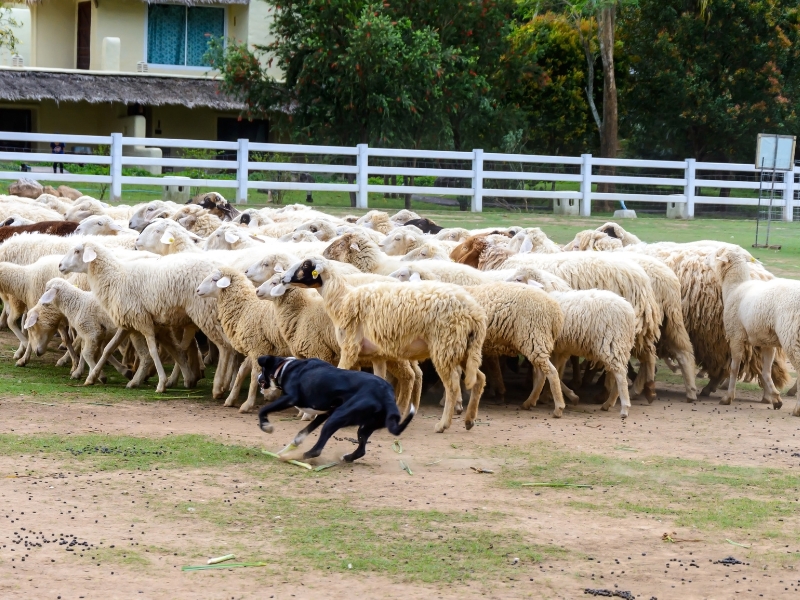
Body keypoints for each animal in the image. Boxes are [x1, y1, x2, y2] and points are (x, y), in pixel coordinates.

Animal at [196, 268, 290, 412]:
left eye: (215, 279)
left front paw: (248, 404)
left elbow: (253, 376)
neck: (245, 308)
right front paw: (231, 399)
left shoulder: (257, 347)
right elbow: (242, 371)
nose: (197, 290)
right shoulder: (254, 348)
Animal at [260, 354, 416, 462]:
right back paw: (347, 458)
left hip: (336, 419)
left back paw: (295, 457)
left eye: (262, 370)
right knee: (361, 450)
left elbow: (263, 410)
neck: (285, 367)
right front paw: (287, 448)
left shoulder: (290, 398)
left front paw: (266, 426)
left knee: (317, 450)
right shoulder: (324, 413)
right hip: (364, 427)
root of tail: (387, 395)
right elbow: (302, 433)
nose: (258, 377)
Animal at [278, 258, 484, 432]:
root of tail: (475, 313)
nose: (282, 278)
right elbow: (378, 381)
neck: (342, 300)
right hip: (464, 348)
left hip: (446, 346)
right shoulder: (377, 355)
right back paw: (469, 420)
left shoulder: (350, 348)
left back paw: (443, 424)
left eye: (305, 265)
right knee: (479, 378)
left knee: (452, 386)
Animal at [512, 268, 636, 418]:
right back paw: (608, 403)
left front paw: (543, 398)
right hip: (619, 345)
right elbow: (555, 372)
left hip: (612, 341)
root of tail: (629, 312)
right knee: (619, 372)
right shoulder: (560, 349)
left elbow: (548, 373)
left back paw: (624, 409)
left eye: (518, 279)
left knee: (620, 374)